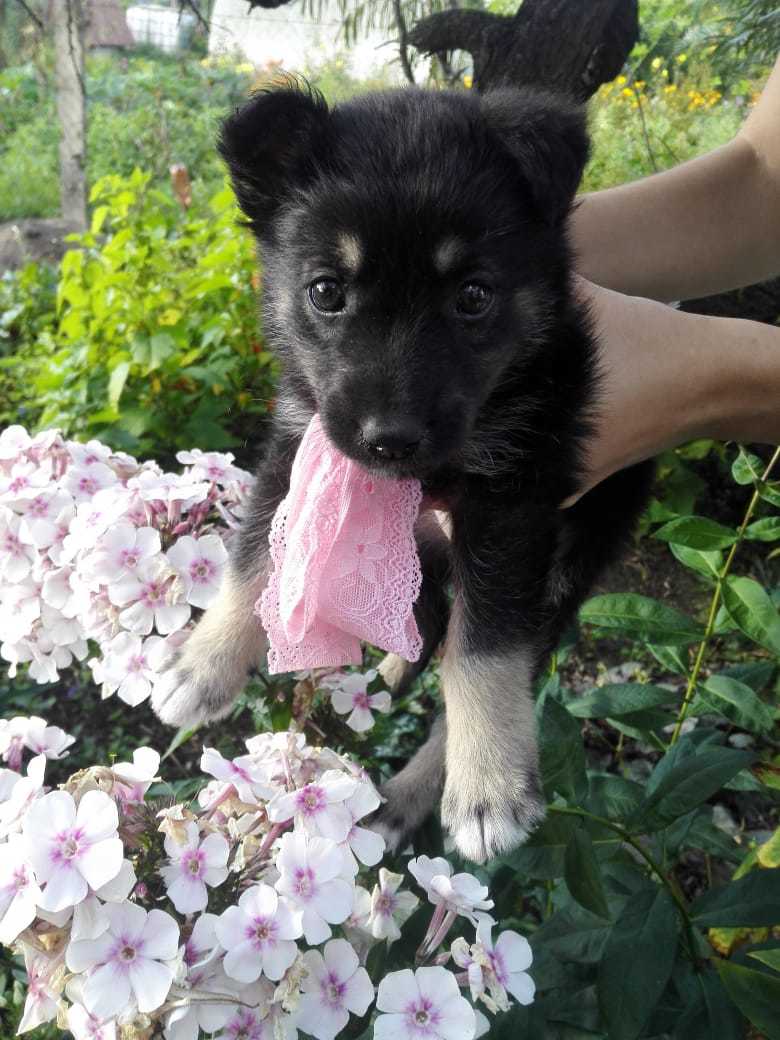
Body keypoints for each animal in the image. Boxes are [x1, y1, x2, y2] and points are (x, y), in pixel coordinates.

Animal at [150, 79, 653, 861]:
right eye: (326, 291)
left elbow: (484, 649)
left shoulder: (513, 498)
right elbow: (252, 559)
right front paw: (201, 667)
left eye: (473, 296)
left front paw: (488, 787)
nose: (389, 441)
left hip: (574, 557)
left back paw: (416, 793)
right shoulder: (300, 444)